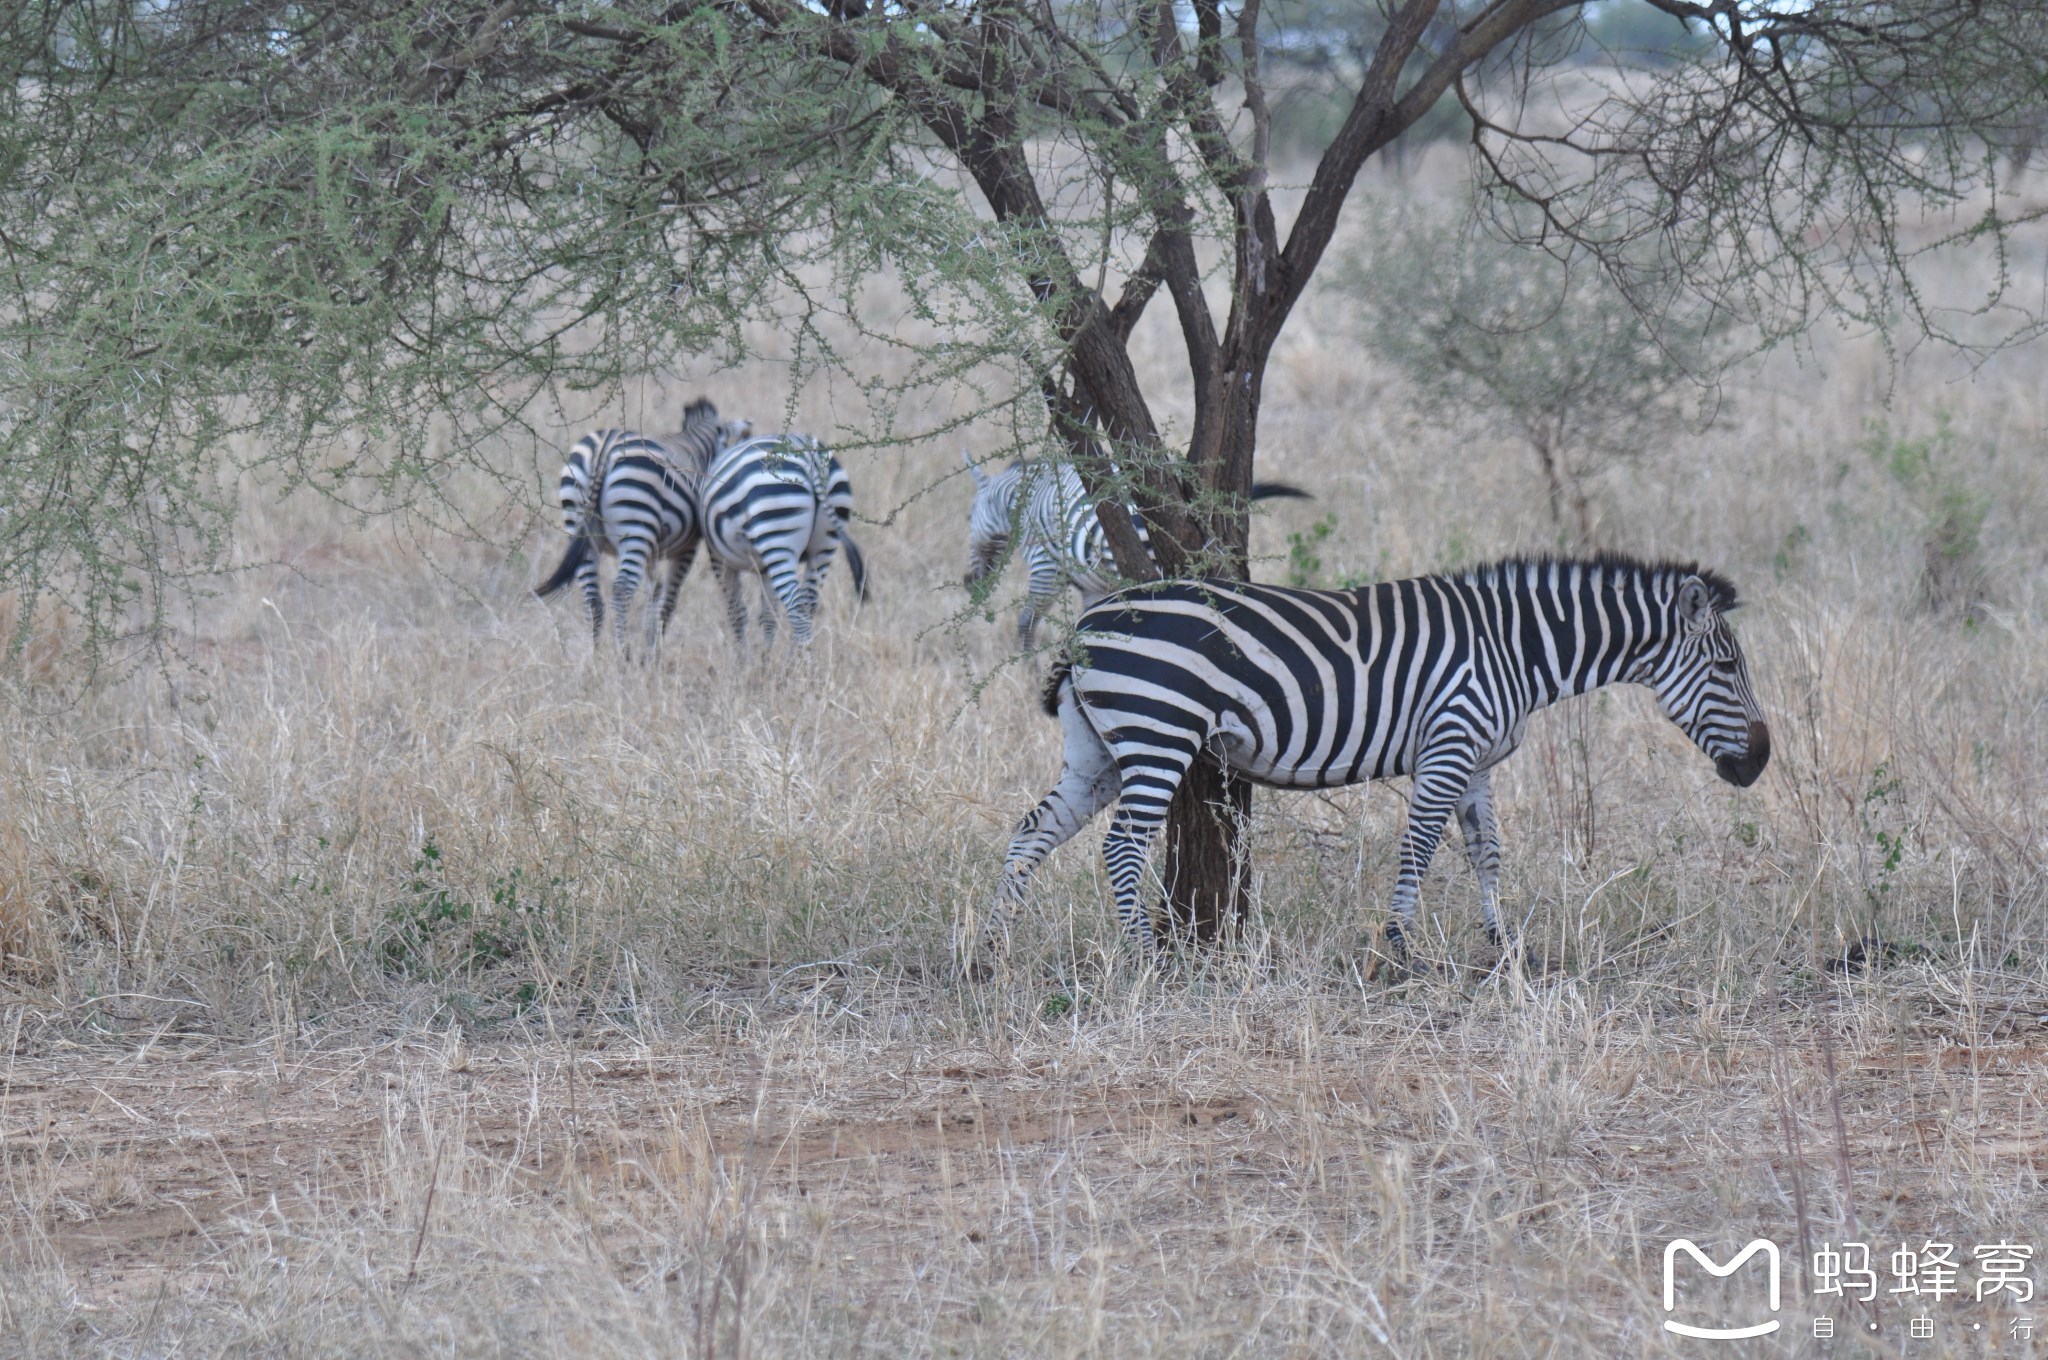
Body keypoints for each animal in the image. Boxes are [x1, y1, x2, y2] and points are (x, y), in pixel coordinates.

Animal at [532, 395, 749, 655]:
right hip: (636, 525)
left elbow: (654, 592)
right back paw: (623, 656)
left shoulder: (653, 551)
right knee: (621, 590)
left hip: (580, 527)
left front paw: (649, 644)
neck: (699, 447)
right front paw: (653, 654)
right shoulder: (687, 547)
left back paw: (595, 657)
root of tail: (603, 449)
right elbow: (667, 601)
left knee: (592, 598)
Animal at [700, 436, 868, 647]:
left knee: (797, 611)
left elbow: (736, 614)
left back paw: (803, 657)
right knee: (808, 605)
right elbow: (768, 616)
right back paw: (795, 656)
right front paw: (765, 656)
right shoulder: (765, 569)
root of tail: (809, 458)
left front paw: (743, 656)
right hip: (824, 544)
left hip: (777, 537)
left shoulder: (719, 559)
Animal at [962, 450, 1310, 647]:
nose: (968, 583)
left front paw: (1030, 679)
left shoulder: (1045, 568)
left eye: (968, 517)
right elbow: (1086, 626)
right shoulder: (1095, 587)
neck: (1025, 500)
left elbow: (1026, 623)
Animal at [970, 553, 1761, 966]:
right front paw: (1399, 949)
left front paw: (1505, 947)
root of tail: (1087, 621)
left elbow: (1487, 850)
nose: (1758, 763)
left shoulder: (1476, 759)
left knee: (1032, 831)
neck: (1516, 647)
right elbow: (1419, 847)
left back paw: (990, 952)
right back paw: (1148, 959)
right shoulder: (1448, 743)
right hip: (1157, 733)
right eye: (1727, 667)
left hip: (1097, 750)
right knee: (1124, 848)